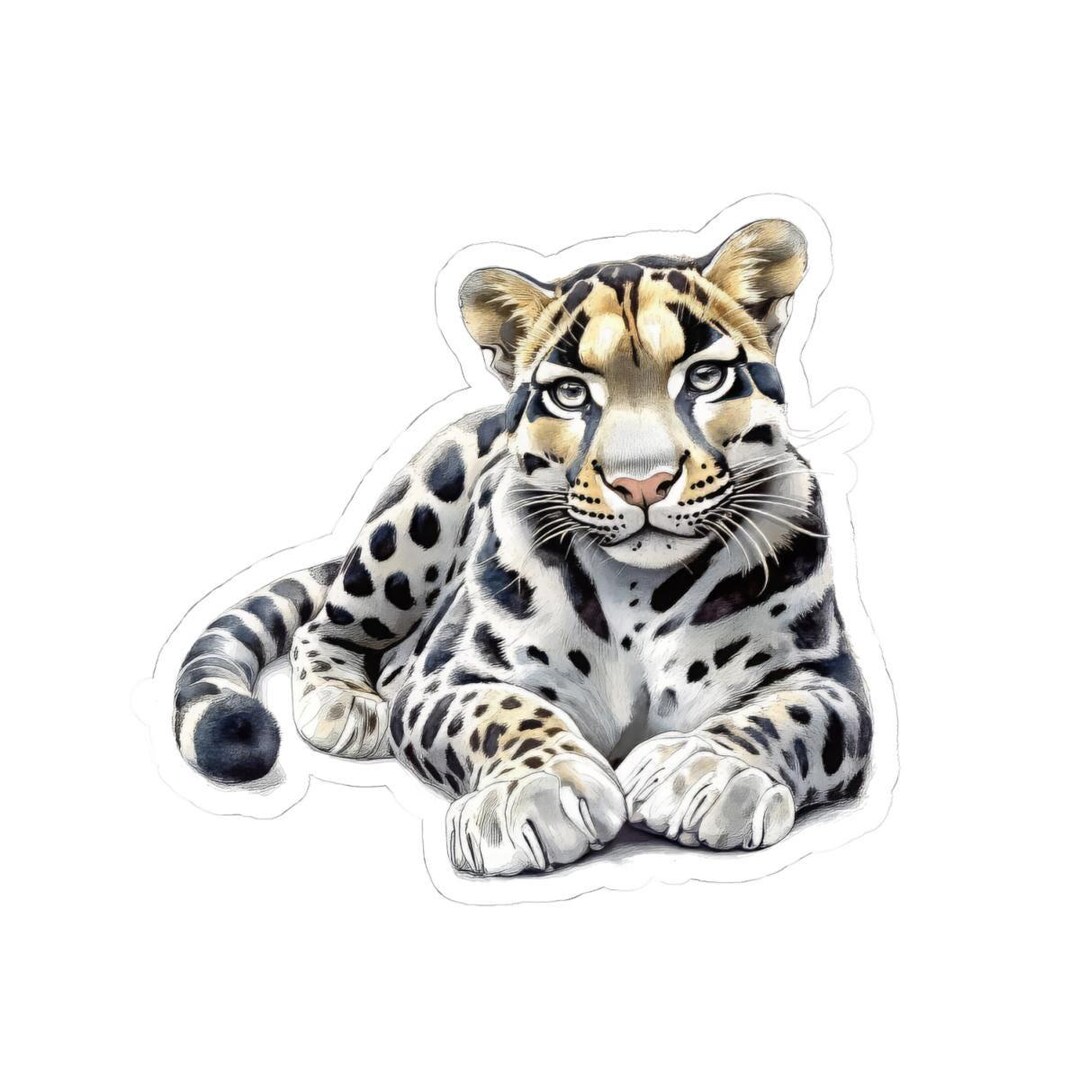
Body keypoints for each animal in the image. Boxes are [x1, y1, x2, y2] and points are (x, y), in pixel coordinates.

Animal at [172, 218, 872, 876]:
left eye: (704, 377)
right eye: (570, 393)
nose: (641, 482)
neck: (643, 592)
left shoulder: (827, 677)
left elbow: (791, 716)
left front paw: (706, 771)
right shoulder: (448, 676)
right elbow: (502, 711)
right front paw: (536, 791)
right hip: (413, 520)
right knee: (325, 624)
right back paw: (344, 704)